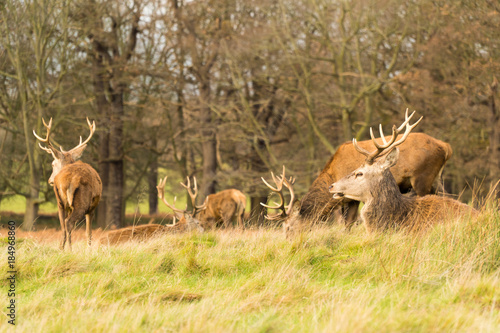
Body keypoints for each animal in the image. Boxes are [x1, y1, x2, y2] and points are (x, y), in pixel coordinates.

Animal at [33, 117, 102, 249]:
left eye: (52, 164)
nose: (49, 180)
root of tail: (71, 179)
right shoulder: (92, 208)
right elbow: (88, 232)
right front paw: (89, 249)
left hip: (60, 203)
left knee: (63, 226)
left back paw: (61, 249)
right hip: (82, 203)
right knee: (69, 223)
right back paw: (70, 249)